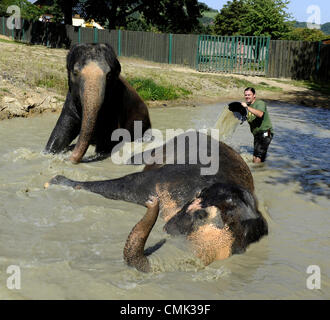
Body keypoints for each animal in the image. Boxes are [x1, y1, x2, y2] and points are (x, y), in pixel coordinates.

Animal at [45, 131, 268, 272]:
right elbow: (128, 183)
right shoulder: (171, 179)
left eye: (243, 246)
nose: (152, 203)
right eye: (200, 215)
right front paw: (55, 181)